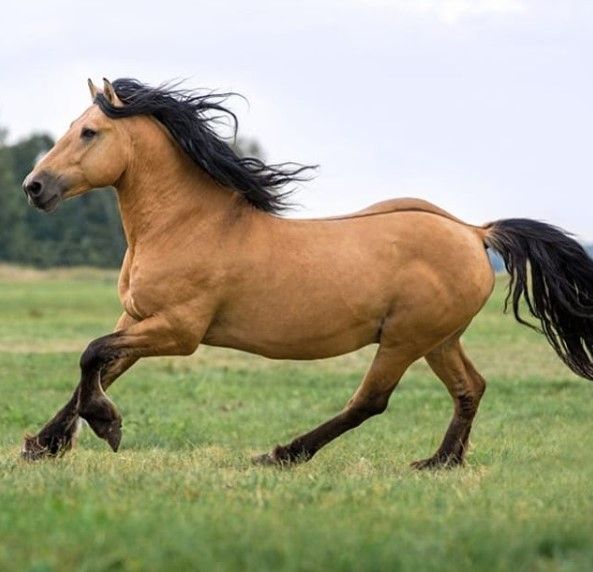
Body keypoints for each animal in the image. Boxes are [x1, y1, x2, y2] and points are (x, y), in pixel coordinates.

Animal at [20, 77, 592, 470]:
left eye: (89, 132)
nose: (34, 187)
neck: (187, 224)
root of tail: (475, 233)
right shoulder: (137, 319)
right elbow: (99, 366)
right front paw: (43, 444)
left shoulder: (179, 332)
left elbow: (91, 354)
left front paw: (105, 427)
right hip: (440, 339)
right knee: (470, 387)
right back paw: (440, 462)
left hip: (405, 339)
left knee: (370, 403)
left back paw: (282, 455)